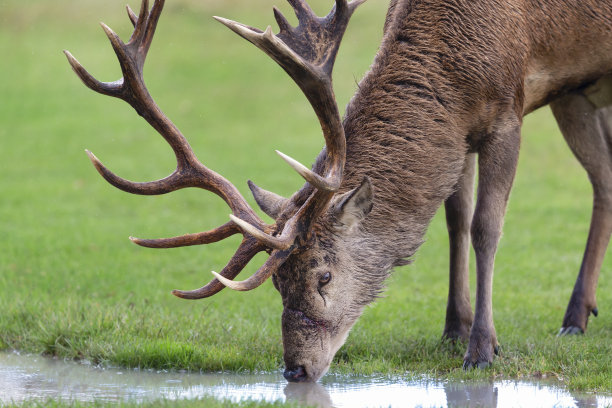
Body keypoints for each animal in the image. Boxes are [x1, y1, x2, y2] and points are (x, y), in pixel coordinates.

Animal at [65, 0, 612, 382]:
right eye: (278, 284)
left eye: (324, 275)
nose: (295, 370)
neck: (457, 69)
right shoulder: (459, 134)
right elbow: (455, 220)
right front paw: (452, 330)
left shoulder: (505, 116)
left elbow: (486, 228)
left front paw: (482, 349)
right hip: (578, 94)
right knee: (604, 177)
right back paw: (578, 313)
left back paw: (572, 317)